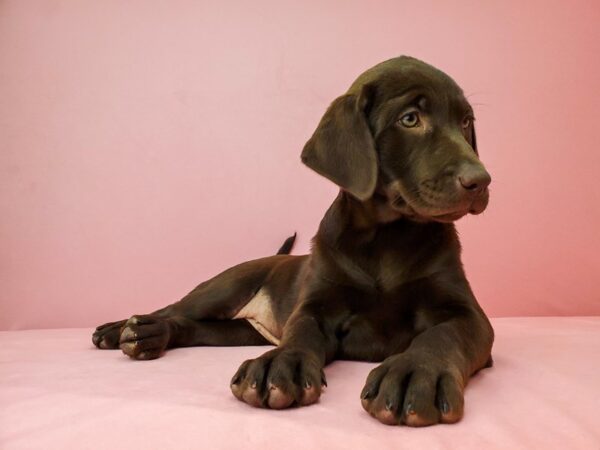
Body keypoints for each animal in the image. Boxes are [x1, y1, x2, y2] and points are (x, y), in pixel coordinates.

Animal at [92, 56, 492, 426]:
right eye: (410, 119)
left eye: (465, 122)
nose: (481, 181)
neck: (386, 236)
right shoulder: (317, 307)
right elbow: (300, 332)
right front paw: (281, 363)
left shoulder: (469, 316)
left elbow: (441, 336)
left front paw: (414, 372)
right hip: (222, 287)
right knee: (174, 309)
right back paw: (128, 329)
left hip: (238, 332)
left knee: (193, 327)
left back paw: (151, 335)